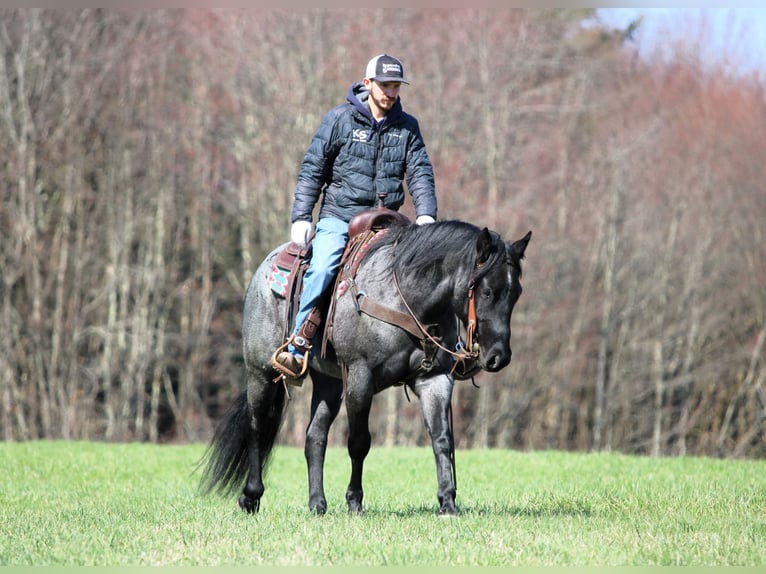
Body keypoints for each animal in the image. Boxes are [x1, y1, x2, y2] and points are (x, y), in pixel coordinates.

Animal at [200, 218, 531, 515]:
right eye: (487, 291)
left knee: (314, 437)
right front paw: (355, 502)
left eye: (516, 293)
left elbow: (442, 439)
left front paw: (448, 502)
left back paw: (317, 504)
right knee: (257, 427)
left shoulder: (434, 380)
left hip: (329, 383)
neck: (404, 297)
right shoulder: (361, 379)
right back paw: (251, 496)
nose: (499, 356)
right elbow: (359, 442)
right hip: (261, 373)